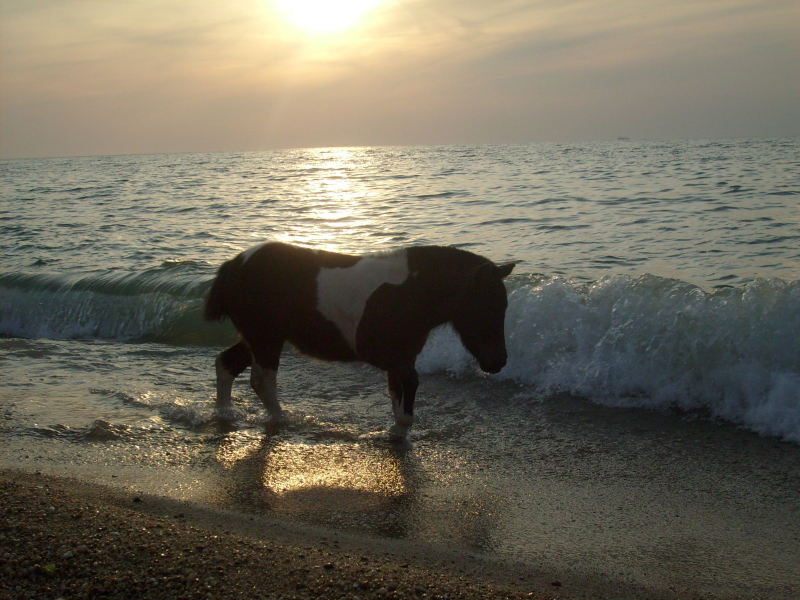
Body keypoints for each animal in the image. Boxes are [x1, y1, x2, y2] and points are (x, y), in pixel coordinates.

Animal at [203, 241, 516, 438]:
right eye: (486, 306)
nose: (498, 362)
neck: (410, 293)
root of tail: (233, 266)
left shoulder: (401, 358)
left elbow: (398, 395)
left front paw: (397, 434)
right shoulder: (388, 357)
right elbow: (408, 392)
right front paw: (400, 432)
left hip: (262, 337)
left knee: (226, 364)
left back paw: (225, 414)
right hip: (264, 338)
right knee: (261, 381)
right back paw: (280, 420)